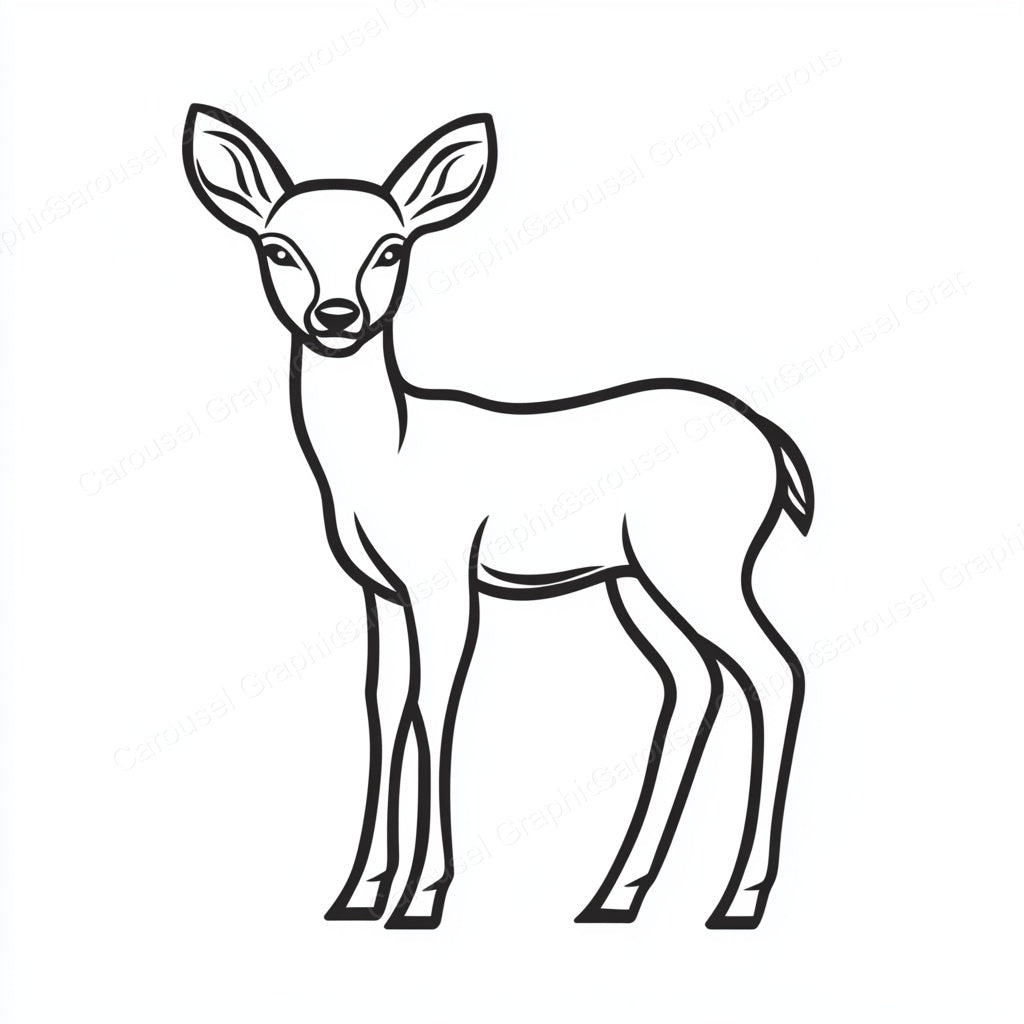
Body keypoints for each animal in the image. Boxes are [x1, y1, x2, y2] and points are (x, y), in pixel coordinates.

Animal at [183, 104, 815, 930]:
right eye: (278, 248)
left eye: (392, 248)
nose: (337, 316)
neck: (386, 456)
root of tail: (772, 442)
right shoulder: (380, 591)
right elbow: (384, 705)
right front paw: (357, 894)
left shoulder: (445, 577)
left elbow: (436, 703)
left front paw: (421, 898)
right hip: (634, 580)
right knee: (693, 683)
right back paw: (614, 895)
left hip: (700, 563)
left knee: (775, 670)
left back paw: (737, 900)